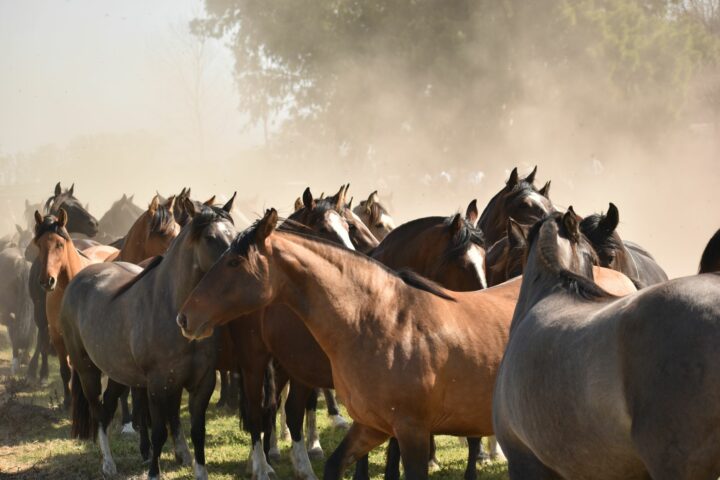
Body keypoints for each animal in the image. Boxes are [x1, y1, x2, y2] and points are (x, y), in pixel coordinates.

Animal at [32, 210, 118, 407]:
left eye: (59, 244)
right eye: (39, 244)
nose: (47, 281)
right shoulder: (57, 335)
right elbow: (65, 370)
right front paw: (67, 400)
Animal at [59, 198, 236, 479]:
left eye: (235, 232)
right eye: (210, 237)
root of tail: (79, 278)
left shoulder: (202, 382)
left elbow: (197, 431)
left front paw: (199, 471)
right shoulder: (157, 385)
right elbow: (159, 431)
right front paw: (154, 472)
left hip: (119, 373)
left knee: (108, 408)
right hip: (87, 370)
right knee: (98, 411)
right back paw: (108, 463)